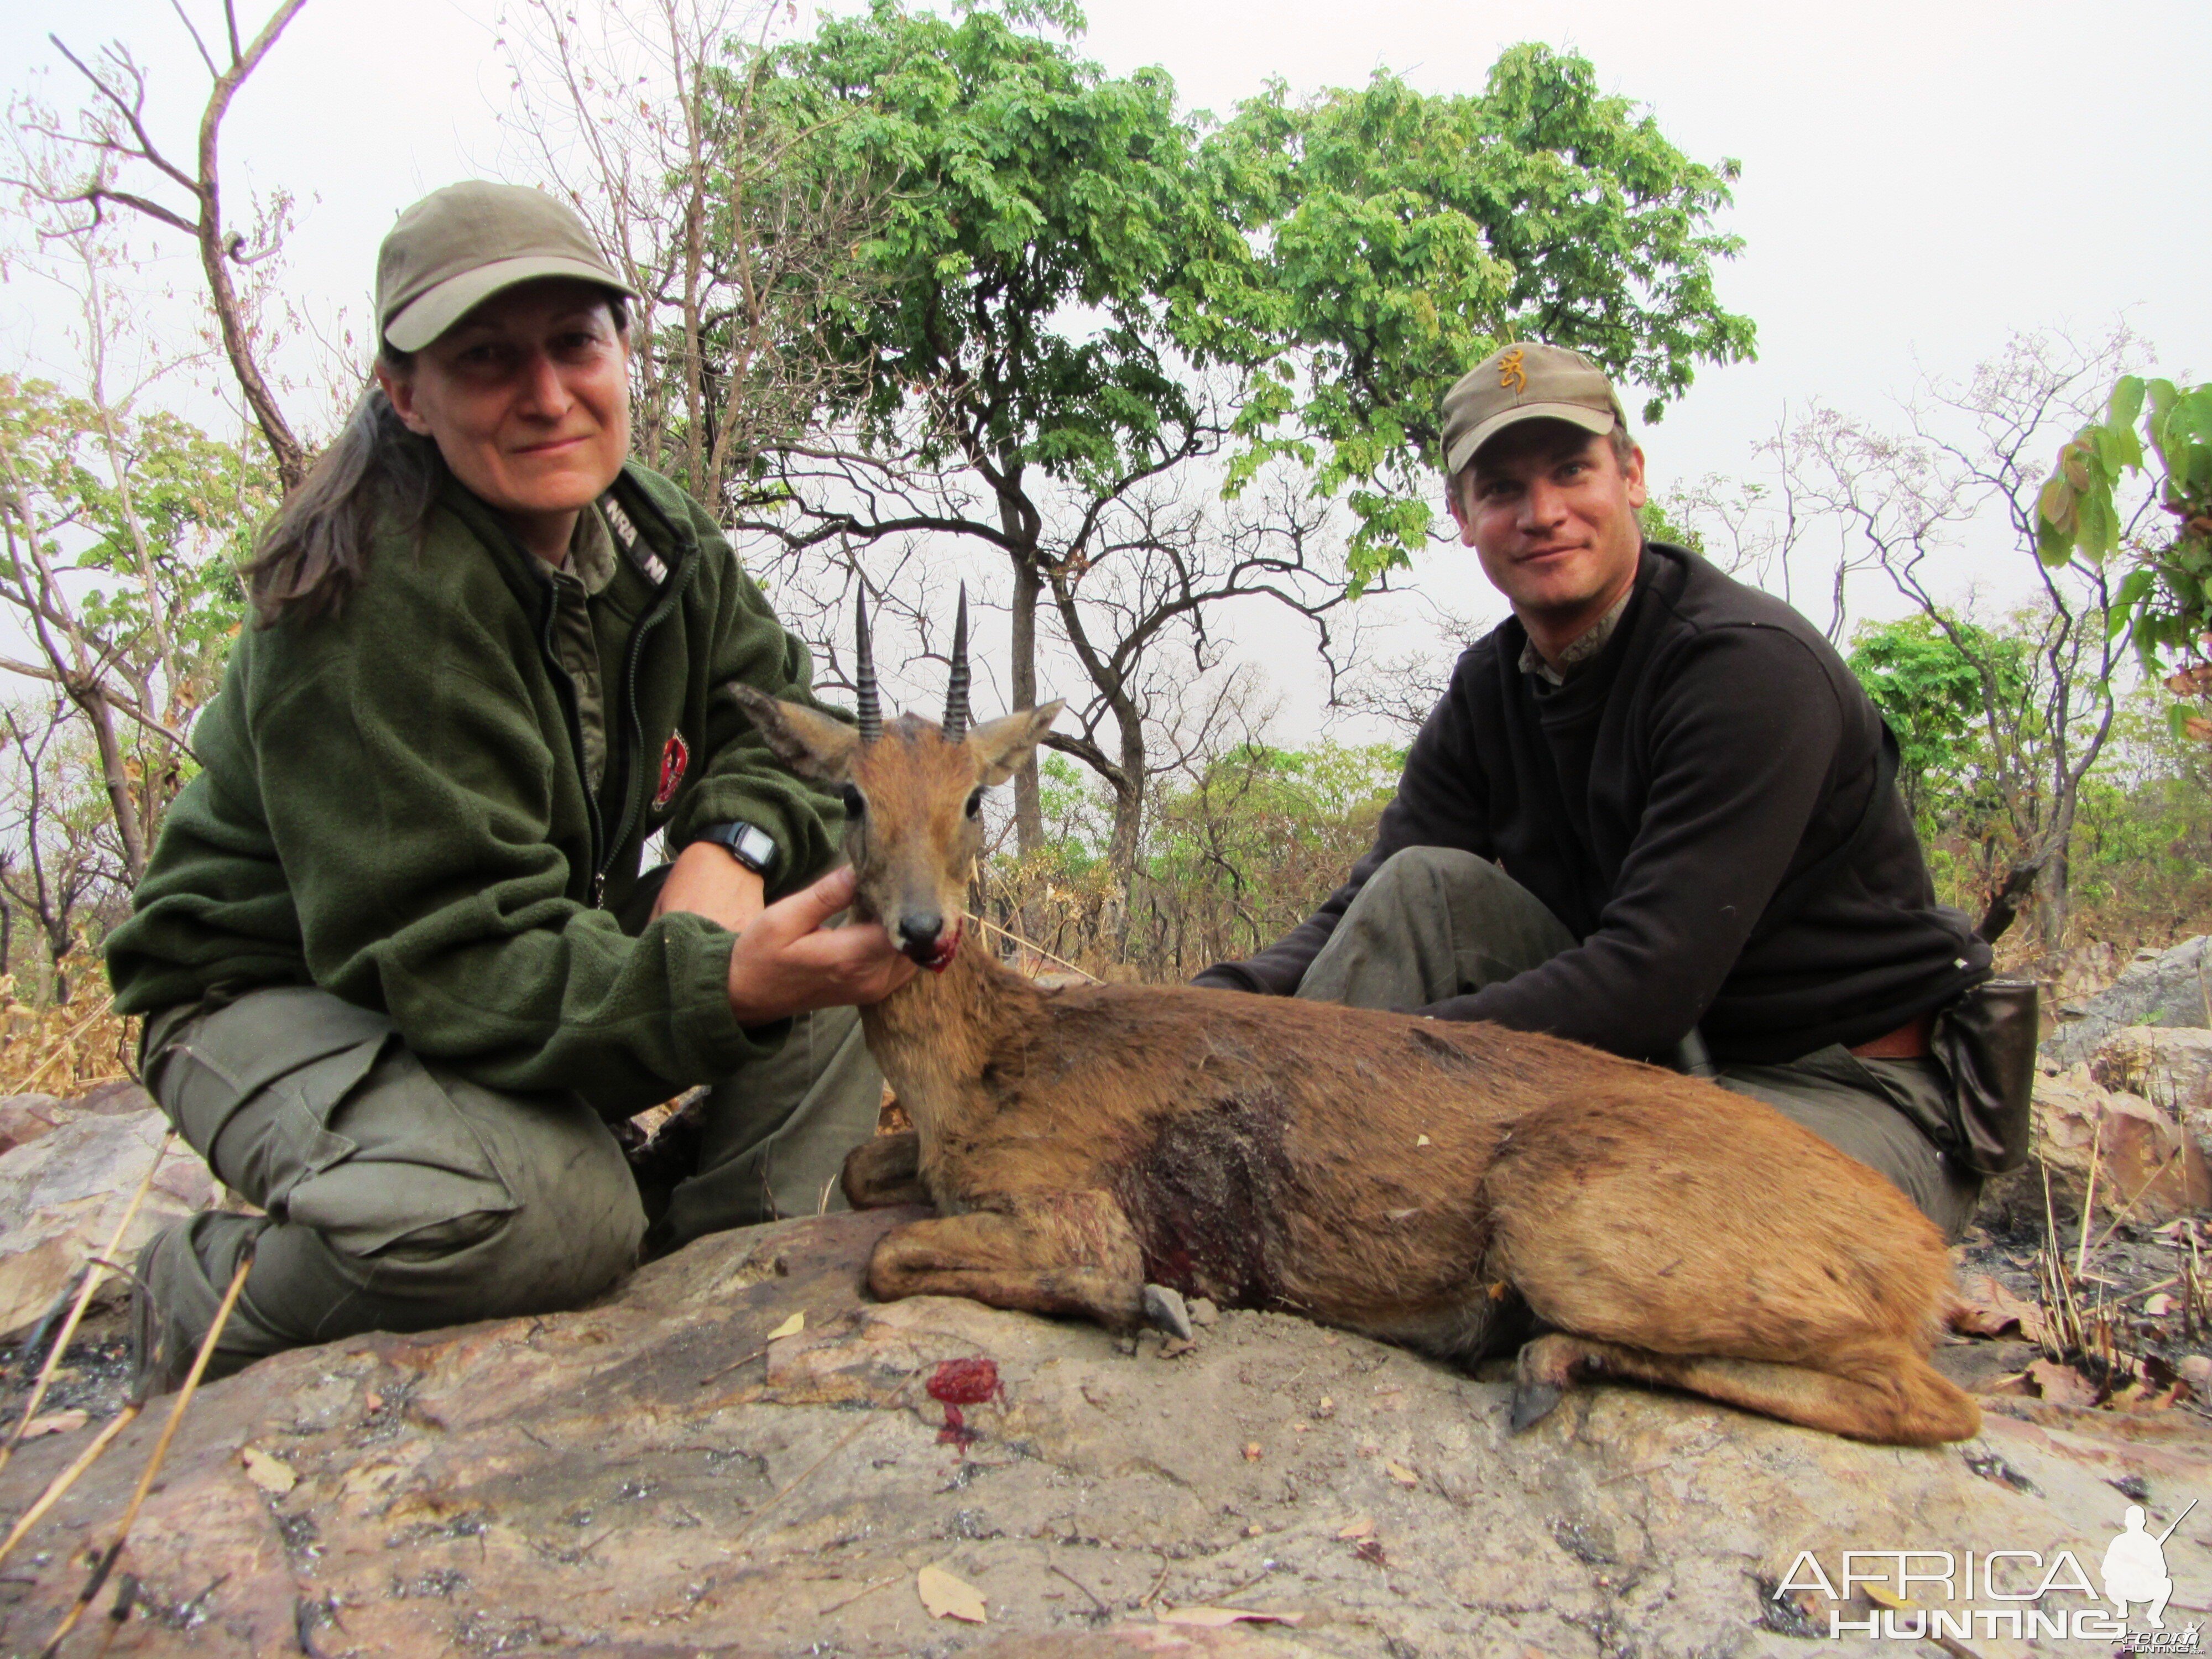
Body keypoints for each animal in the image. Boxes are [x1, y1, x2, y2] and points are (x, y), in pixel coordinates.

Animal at [730, 606, 1991, 1451]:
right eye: (852, 796)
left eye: (975, 796)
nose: (922, 929)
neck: (992, 1057)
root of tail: (1921, 1254)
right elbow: (862, 1173)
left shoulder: (1068, 1200)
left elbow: (904, 1258)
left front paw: (1154, 1303)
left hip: (1567, 1220)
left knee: (1935, 1401)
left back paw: (1537, 1354)